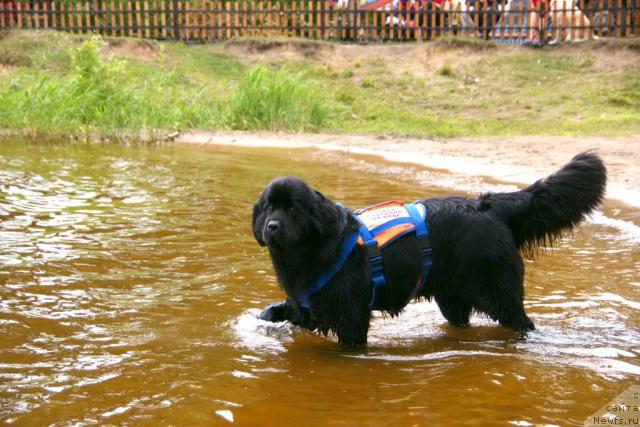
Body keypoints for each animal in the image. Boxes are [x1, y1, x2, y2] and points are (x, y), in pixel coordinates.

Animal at [250, 152, 604, 346]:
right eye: (268, 208)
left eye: (293, 208)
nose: (272, 227)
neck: (313, 251)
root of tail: (488, 207)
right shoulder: (308, 304)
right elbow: (281, 312)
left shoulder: (351, 316)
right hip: (453, 298)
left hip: (498, 291)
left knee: (522, 321)